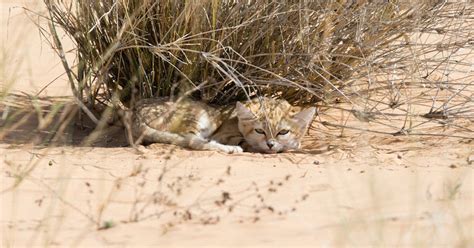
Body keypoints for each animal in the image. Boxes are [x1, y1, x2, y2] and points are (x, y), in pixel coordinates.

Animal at [131, 97, 314, 153]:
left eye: (283, 132)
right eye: (259, 131)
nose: (270, 144)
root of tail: (134, 112)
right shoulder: (222, 134)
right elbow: (246, 142)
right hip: (199, 117)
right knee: (194, 142)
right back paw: (230, 149)